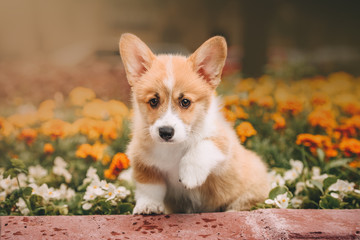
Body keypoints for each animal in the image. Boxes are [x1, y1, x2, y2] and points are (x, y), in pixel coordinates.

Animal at [119, 32, 268, 214]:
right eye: (154, 101)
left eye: (185, 102)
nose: (166, 132)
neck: (173, 148)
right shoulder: (143, 162)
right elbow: (149, 188)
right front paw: (148, 206)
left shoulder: (224, 143)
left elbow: (203, 146)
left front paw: (190, 174)